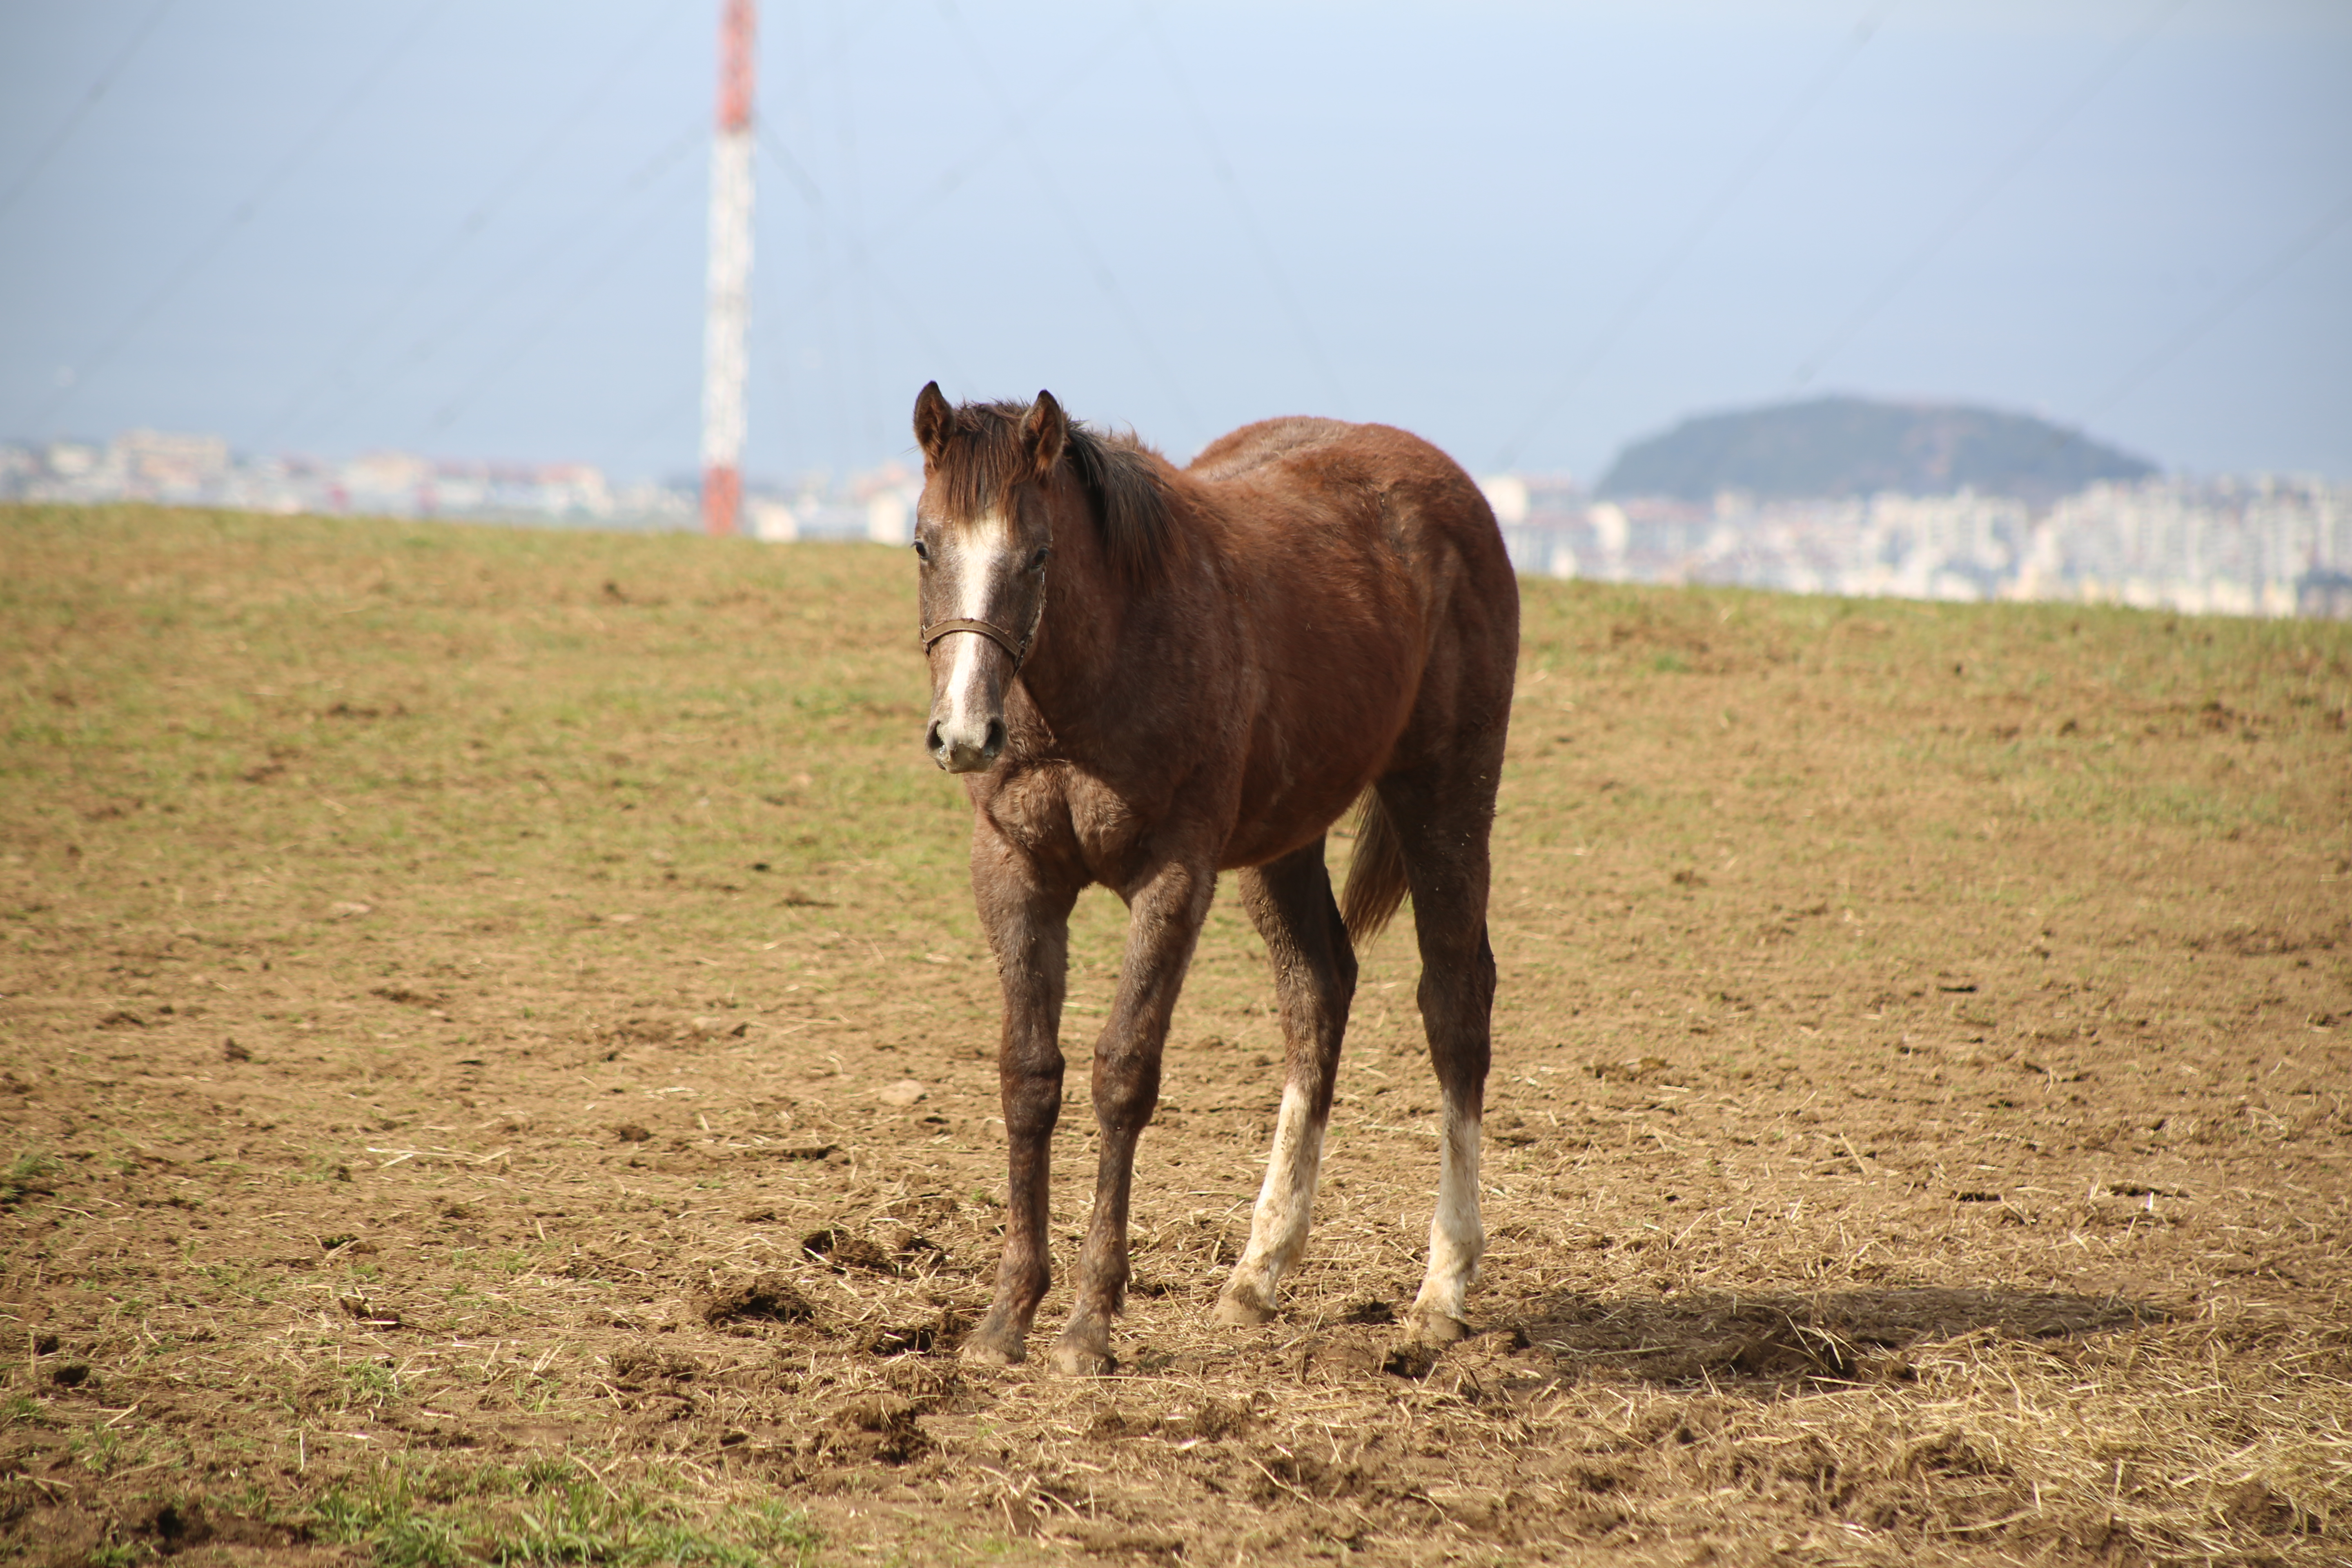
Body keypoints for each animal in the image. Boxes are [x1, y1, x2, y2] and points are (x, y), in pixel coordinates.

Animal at [908, 381, 1515, 1373]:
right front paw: (1007, 1319)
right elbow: (1029, 1075)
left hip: (1447, 797)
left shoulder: (1174, 876)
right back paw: (1257, 1274)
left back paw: (1442, 1288)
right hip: (1284, 841)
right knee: (1317, 994)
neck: (1093, 680)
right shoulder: (1015, 872)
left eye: (1039, 553)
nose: (964, 733)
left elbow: (1123, 1073)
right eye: (925, 543)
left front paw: (1089, 1324)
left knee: (1456, 1004)